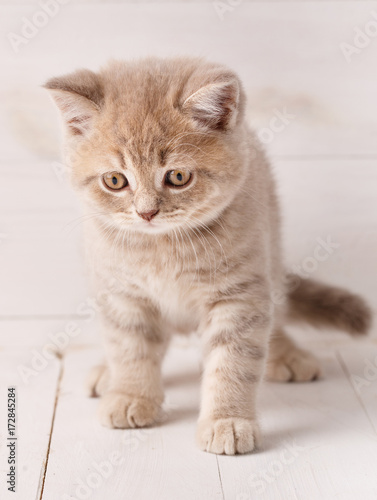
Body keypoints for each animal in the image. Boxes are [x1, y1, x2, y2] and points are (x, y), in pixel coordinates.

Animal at [44, 56, 370, 456]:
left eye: (178, 176)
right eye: (115, 181)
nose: (146, 213)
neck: (163, 247)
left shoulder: (240, 294)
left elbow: (233, 362)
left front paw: (227, 420)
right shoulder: (121, 293)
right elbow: (130, 348)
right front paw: (131, 394)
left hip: (272, 255)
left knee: (275, 314)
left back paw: (287, 354)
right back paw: (107, 373)